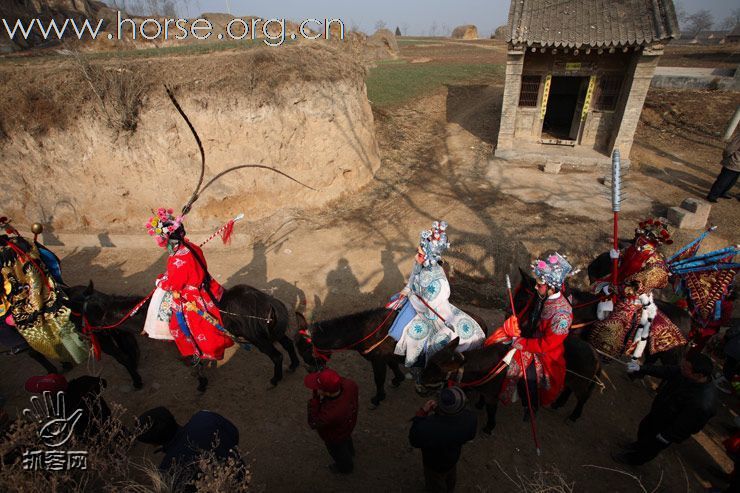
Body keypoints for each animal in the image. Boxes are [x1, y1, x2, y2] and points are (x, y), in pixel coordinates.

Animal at [78, 282, 300, 390]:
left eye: (89, 315)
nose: (84, 333)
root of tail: (269, 302)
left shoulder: (183, 345)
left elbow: (192, 363)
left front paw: (201, 384)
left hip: (259, 339)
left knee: (277, 355)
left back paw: (275, 380)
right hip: (273, 333)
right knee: (289, 345)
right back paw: (293, 365)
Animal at [420, 334, 600, 434]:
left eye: (435, 370)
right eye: (429, 361)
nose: (420, 380)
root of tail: (594, 352)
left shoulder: (492, 395)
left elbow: (491, 410)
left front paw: (489, 428)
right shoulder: (487, 391)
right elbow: (483, 400)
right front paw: (479, 404)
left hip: (581, 382)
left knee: (583, 397)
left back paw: (573, 416)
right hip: (573, 380)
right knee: (569, 390)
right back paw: (558, 403)